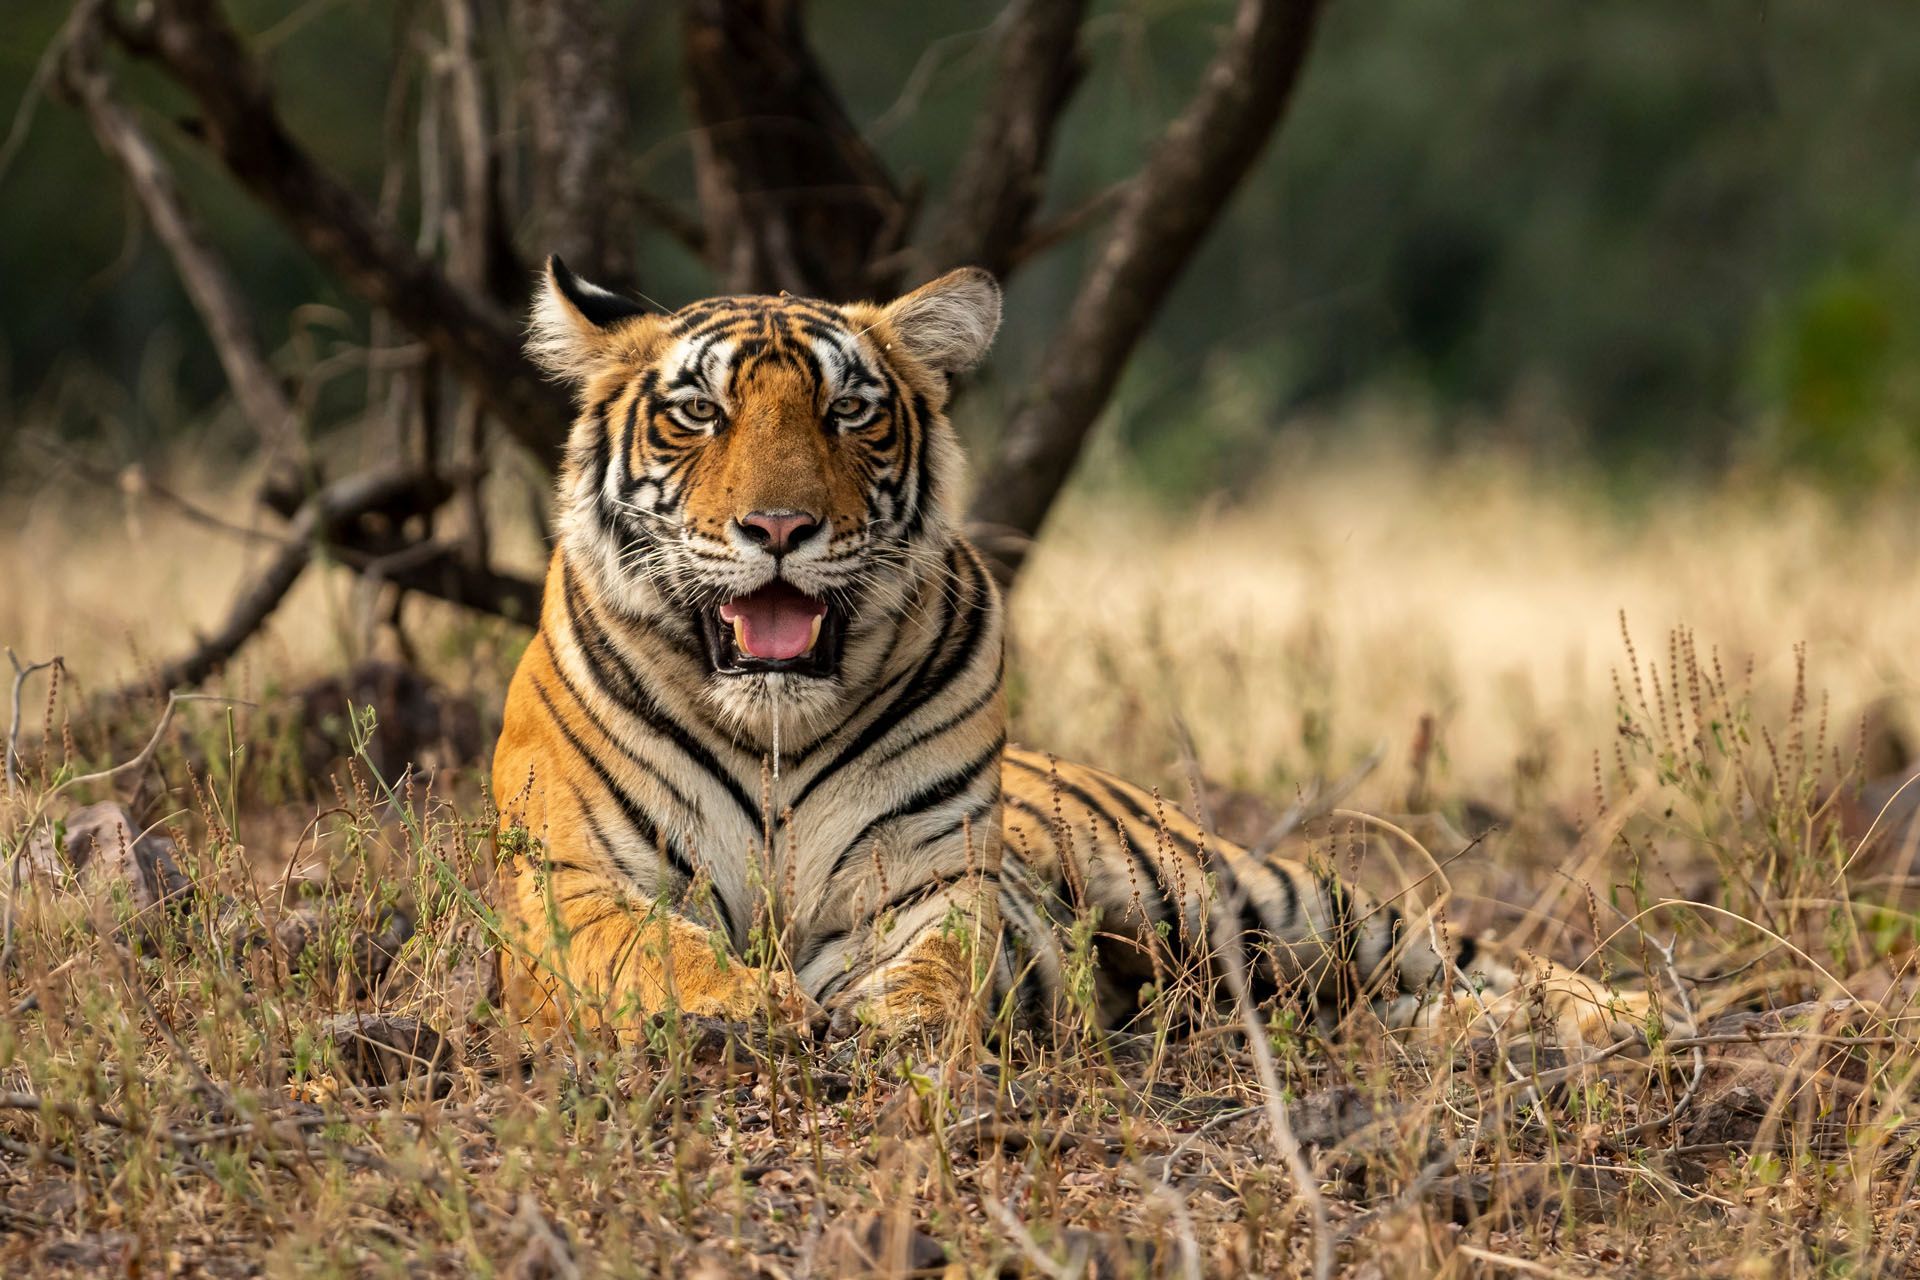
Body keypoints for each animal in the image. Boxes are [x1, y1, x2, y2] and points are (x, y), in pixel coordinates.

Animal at [490, 258, 1660, 1050]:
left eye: (849, 411)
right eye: (699, 411)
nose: (779, 527)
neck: (774, 724)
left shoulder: (929, 882)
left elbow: (937, 970)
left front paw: (899, 1029)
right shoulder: (570, 880)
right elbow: (651, 948)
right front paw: (746, 1007)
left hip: (1254, 900)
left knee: (1453, 947)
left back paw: (1620, 1014)